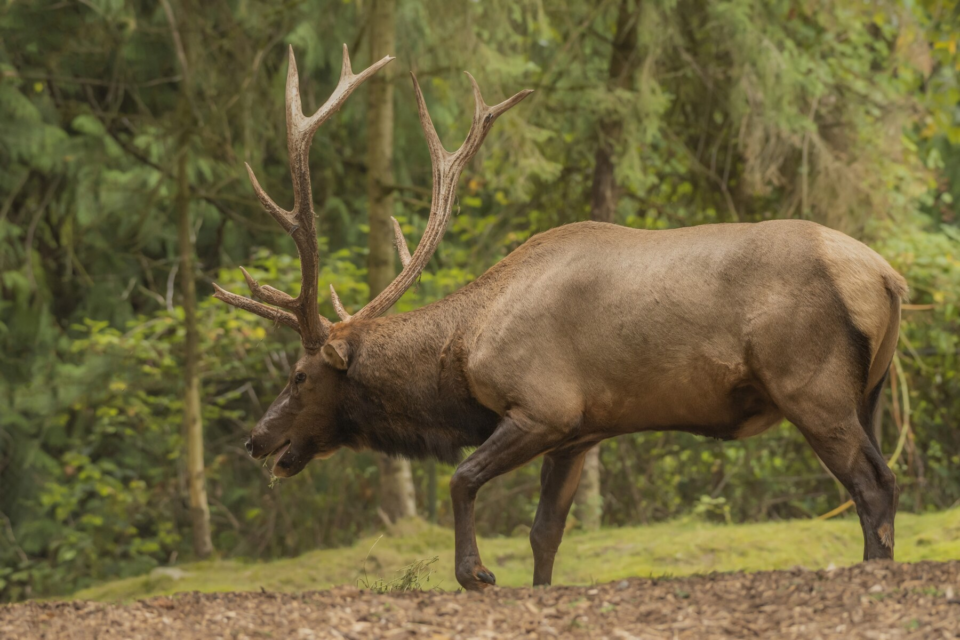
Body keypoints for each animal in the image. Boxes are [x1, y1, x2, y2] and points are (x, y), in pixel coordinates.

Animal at [216, 45, 908, 592]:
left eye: (299, 376)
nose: (256, 439)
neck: (462, 355)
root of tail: (887, 278)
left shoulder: (542, 407)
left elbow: (463, 478)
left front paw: (475, 573)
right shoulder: (580, 431)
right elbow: (544, 532)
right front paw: (535, 588)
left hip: (811, 386)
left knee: (872, 484)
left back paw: (872, 573)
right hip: (869, 391)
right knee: (886, 479)